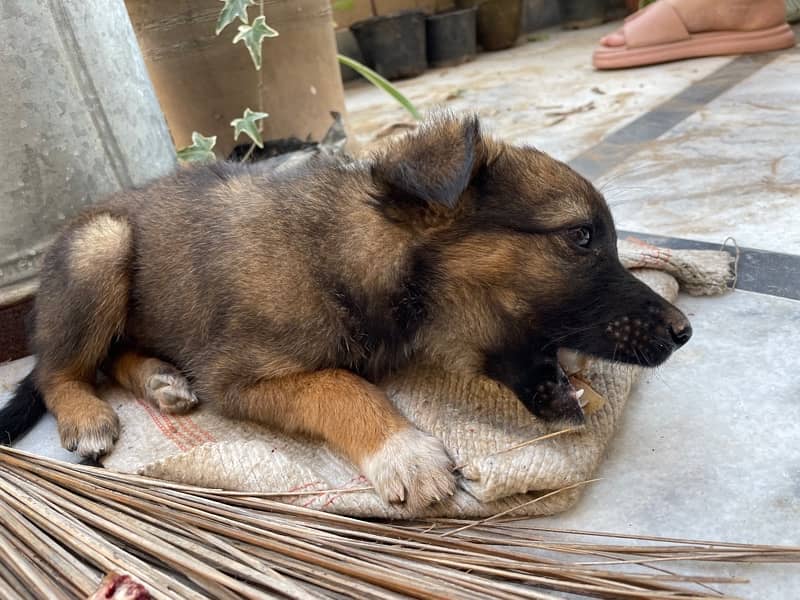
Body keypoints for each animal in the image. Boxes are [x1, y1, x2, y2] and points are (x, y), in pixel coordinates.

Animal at [0, 111, 692, 506]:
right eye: (580, 237)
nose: (685, 331)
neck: (357, 258)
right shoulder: (240, 378)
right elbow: (340, 384)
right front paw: (405, 452)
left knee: (114, 353)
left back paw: (160, 380)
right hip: (101, 245)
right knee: (58, 370)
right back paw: (88, 414)